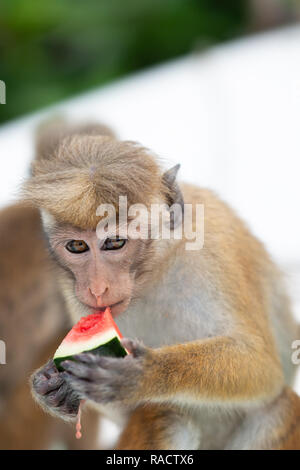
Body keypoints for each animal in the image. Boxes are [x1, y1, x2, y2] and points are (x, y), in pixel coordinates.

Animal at [23, 120, 300, 448]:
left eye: (114, 242)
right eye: (77, 246)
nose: (97, 288)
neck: (152, 274)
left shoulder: (217, 250)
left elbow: (261, 364)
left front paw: (149, 372)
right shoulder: (73, 295)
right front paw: (55, 389)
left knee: (275, 408)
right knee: (163, 413)